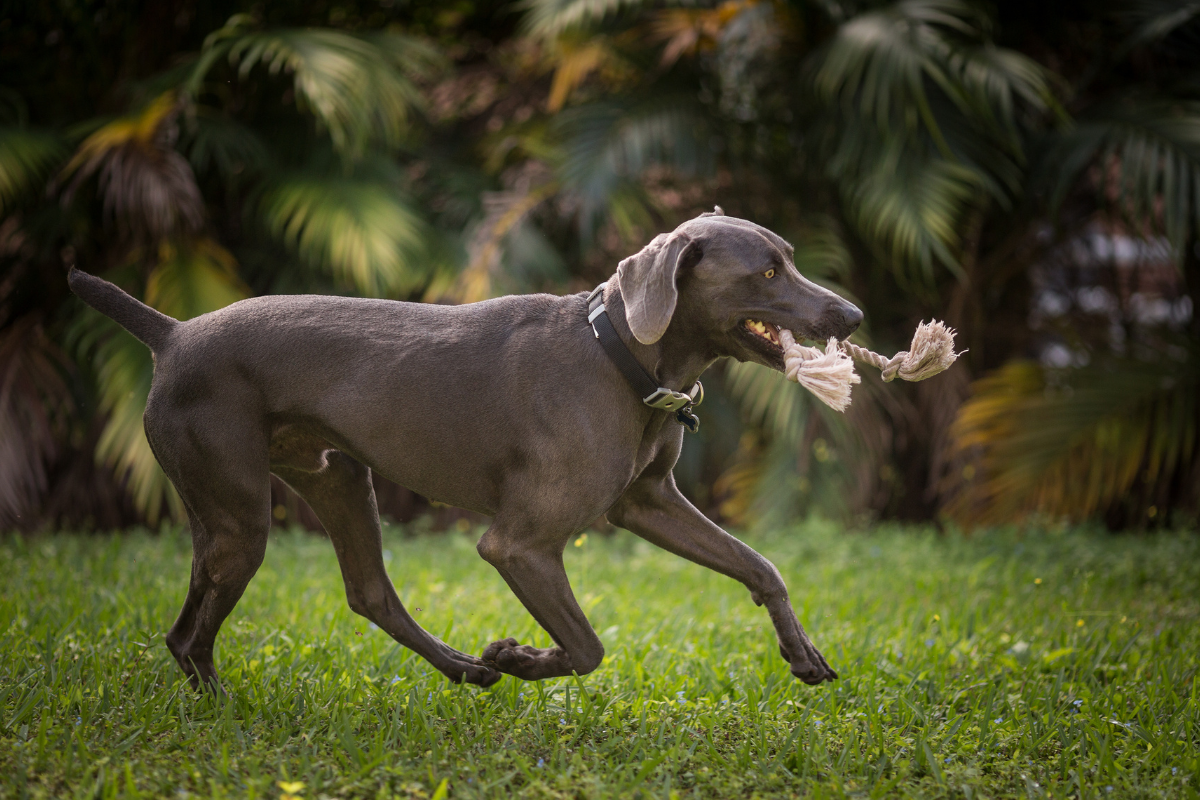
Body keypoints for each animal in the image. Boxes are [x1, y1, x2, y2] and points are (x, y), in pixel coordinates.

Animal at [68, 209, 864, 690]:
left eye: (790, 259)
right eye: (767, 272)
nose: (853, 314)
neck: (619, 356)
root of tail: (173, 332)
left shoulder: (648, 504)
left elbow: (760, 566)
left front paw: (803, 654)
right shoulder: (520, 545)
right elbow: (586, 647)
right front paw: (519, 656)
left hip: (335, 478)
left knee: (368, 594)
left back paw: (461, 669)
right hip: (237, 515)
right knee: (190, 636)